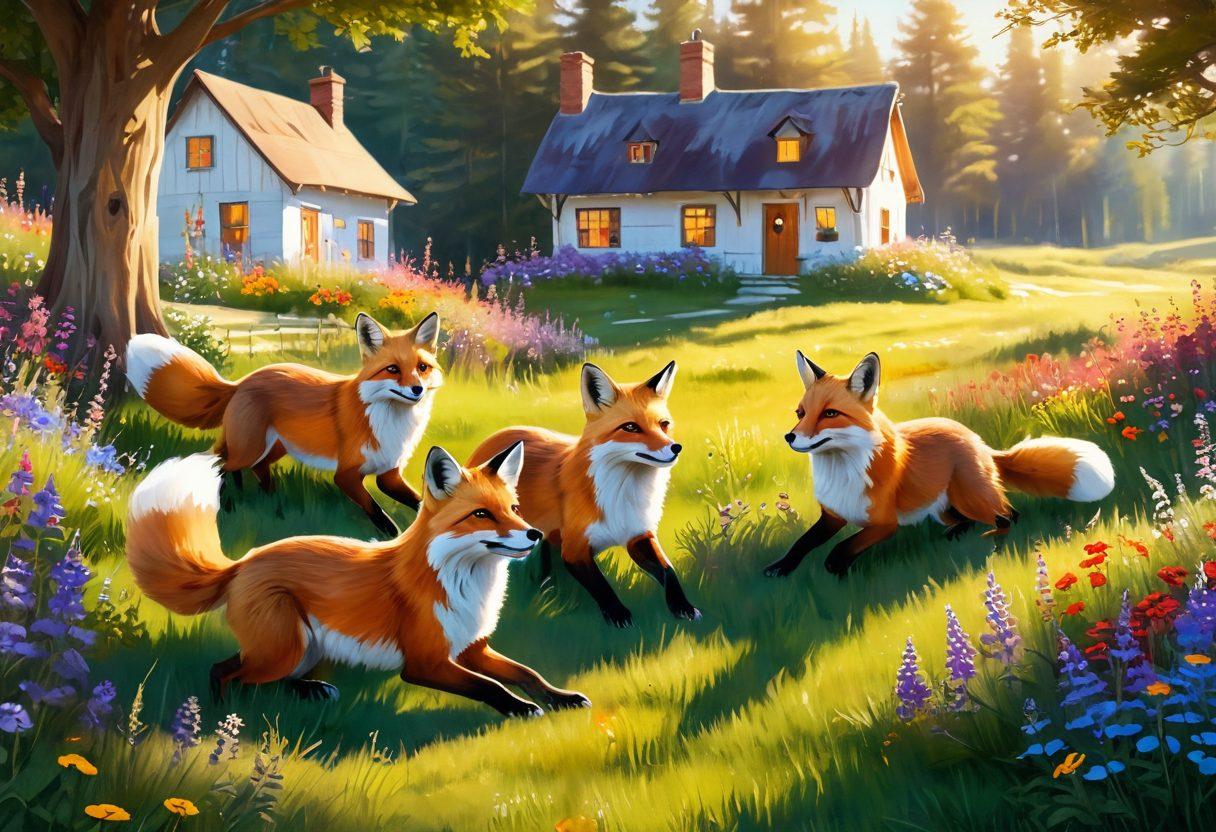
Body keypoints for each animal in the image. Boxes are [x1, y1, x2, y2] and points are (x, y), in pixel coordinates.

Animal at [124, 442, 590, 716]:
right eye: (481, 514)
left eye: (513, 509)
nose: (533, 534)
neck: (462, 584)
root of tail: (244, 561)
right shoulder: (425, 663)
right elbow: (490, 686)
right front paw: (520, 709)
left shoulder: (471, 648)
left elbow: (528, 674)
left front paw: (562, 698)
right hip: (285, 648)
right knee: (224, 672)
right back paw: (222, 711)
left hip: (304, 649)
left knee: (269, 678)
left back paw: (312, 691)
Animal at [125, 312, 442, 537]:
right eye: (393, 369)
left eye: (422, 368)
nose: (417, 389)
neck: (390, 421)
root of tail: (242, 382)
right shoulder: (346, 475)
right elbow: (376, 510)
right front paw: (395, 535)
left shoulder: (388, 474)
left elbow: (420, 502)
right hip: (252, 446)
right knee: (224, 465)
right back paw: (230, 505)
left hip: (276, 448)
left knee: (253, 468)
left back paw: (270, 500)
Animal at [468, 361, 699, 628]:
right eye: (631, 427)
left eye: (664, 424)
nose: (676, 448)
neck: (622, 495)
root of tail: (498, 434)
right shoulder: (574, 548)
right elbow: (601, 586)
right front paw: (619, 616)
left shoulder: (638, 535)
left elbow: (669, 571)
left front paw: (683, 607)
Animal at [764, 350, 1116, 578]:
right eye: (800, 413)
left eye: (830, 414)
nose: (789, 437)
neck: (844, 469)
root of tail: (977, 439)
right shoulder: (833, 515)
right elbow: (802, 542)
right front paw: (780, 567)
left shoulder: (884, 523)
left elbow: (840, 550)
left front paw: (837, 569)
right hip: (942, 506)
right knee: (975, 518)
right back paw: (957, 534)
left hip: (969, 498)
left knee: (1009, 515)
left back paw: (991, 539)